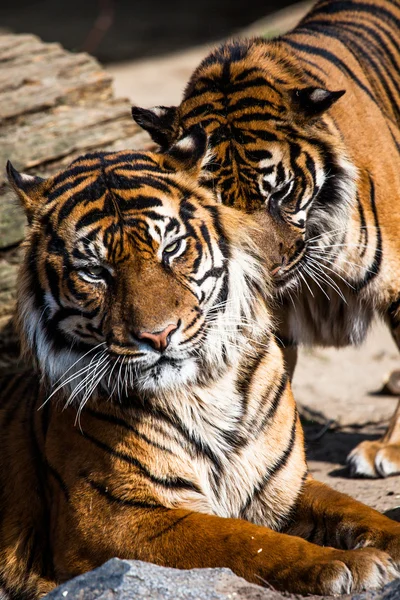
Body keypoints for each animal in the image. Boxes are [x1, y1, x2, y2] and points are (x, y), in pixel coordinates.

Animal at [2, 124, 400, 596]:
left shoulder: (284, 485)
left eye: (171, 248)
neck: (203, 391)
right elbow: (244, 539)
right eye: (95, 272)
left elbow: (355, 509)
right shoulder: (112, 520)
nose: (158, 335)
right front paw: (347, 563)